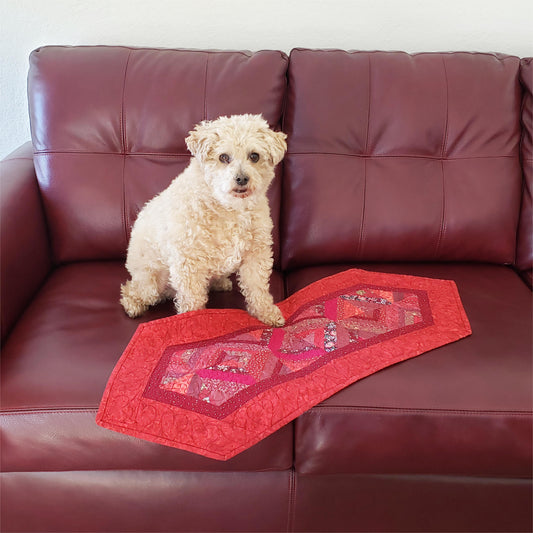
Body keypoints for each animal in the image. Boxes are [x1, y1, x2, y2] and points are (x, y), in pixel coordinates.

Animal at [119, 114, 286, 326]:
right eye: (223, 157)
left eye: (254, 156)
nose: (241, 179)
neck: (228, 207)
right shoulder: (188, 264)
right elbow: (193, 301)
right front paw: (195, 323)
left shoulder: (256, 254)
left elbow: (257, 288)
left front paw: (267, 313)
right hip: (151, 282)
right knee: (131, 289)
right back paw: (132, 305)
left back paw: (220, 282)